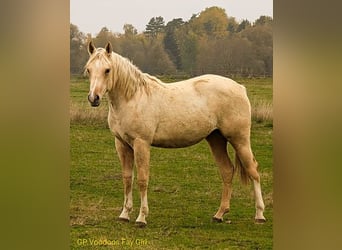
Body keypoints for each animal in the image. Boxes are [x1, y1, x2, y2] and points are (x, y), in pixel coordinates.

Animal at [84, 41, 266, 227]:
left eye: (107, 70)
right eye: (88, 69)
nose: (94, 98)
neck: (133, 97)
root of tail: (240, 88)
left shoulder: (141, 143)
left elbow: (142, 179)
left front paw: (141, 218)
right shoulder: (122, 144)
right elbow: (127, 178)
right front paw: (124, 214)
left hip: (239, 139)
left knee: (253, 171)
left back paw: (259, 214)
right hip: (216, 139)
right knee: (227, 171)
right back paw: (219, 214)